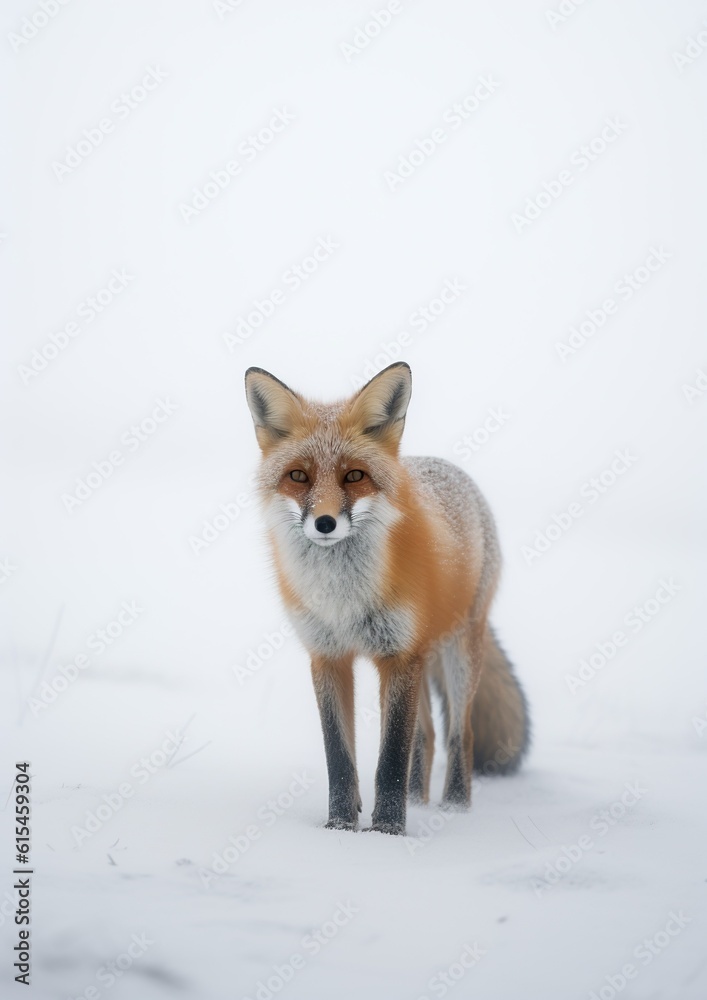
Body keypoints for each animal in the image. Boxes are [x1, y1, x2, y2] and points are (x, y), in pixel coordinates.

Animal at [244, 361, 529, 835]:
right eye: (298, 476)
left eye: (354, 475)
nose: (325, 523)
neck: (344, 599)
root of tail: (450, 470)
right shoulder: (328, 655)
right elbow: (340, 757)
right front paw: (340, 825)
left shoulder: (397, 655)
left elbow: (391, 756)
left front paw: (388, 830)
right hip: (422, 660)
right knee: (426, 736)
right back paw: (418, 801)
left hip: (457, 651)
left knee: (459, 734)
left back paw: (454, 808)